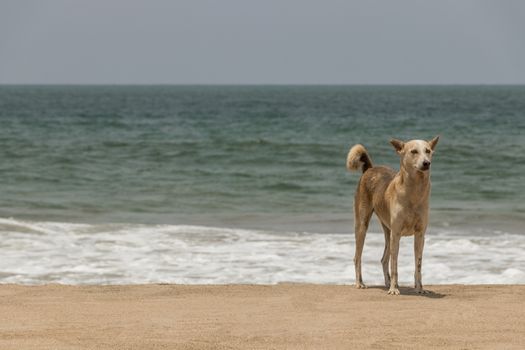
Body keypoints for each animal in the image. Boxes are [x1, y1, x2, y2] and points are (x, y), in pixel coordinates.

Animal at [344, 137, 438, 296]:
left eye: (428, 151)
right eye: (414, 151)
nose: (426, 163)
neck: (414, 193)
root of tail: (370, 169)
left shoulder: (420, 235)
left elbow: (418, 265)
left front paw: (419, 288)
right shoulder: (397, 233)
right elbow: (395, 264)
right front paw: (394, 289)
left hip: (388, 231)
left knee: (383, 259)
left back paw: (388, 283)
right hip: (363, 226)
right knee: (357, 257)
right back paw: (360, 283)